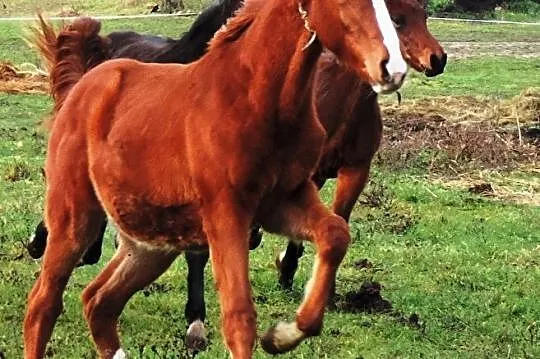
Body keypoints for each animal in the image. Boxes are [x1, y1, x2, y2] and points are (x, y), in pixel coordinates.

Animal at [24, 0, 404, 358]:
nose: (393, 69)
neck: (258, 98)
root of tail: (84, 83)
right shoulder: (227, 213)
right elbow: (238, 316)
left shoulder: (285, 201)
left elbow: (336, 234)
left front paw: (282, 335)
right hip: (76, 218)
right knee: (43, 304)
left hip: (150, 242)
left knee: (99, 301)